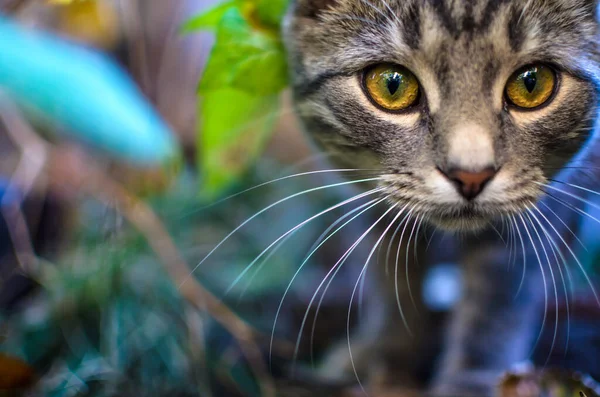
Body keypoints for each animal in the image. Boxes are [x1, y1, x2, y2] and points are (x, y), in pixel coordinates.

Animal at [284, 0, 600, 394]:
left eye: (532, 83)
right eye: (392, 85)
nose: (470, 174)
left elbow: (495, 304)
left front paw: (470, 380)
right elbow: (391, 274)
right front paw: (387, 354)